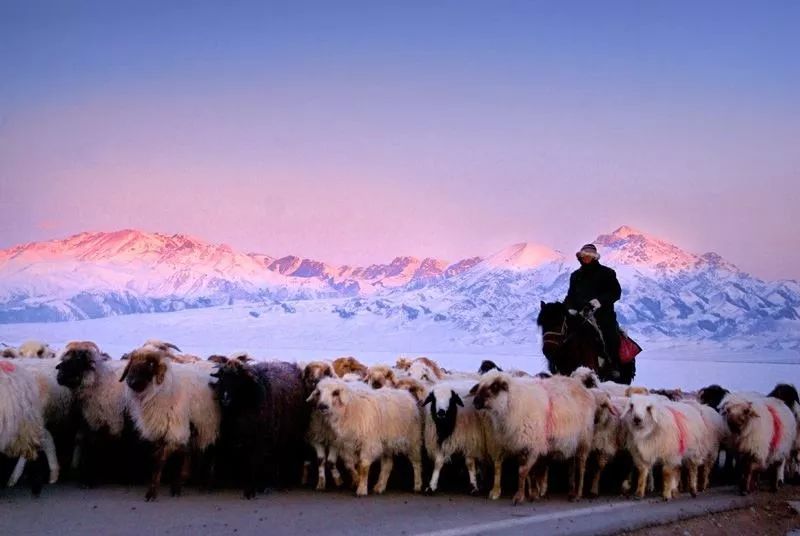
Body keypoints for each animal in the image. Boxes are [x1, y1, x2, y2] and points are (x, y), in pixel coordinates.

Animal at [209, 360, 310, 498]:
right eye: (222, 378)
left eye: (237, 380)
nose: (225, 398)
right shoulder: (238, 440)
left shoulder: (260, 440)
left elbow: (254, 462)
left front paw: (251, 491)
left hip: (290, 435)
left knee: (286, 456)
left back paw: (283, 483)